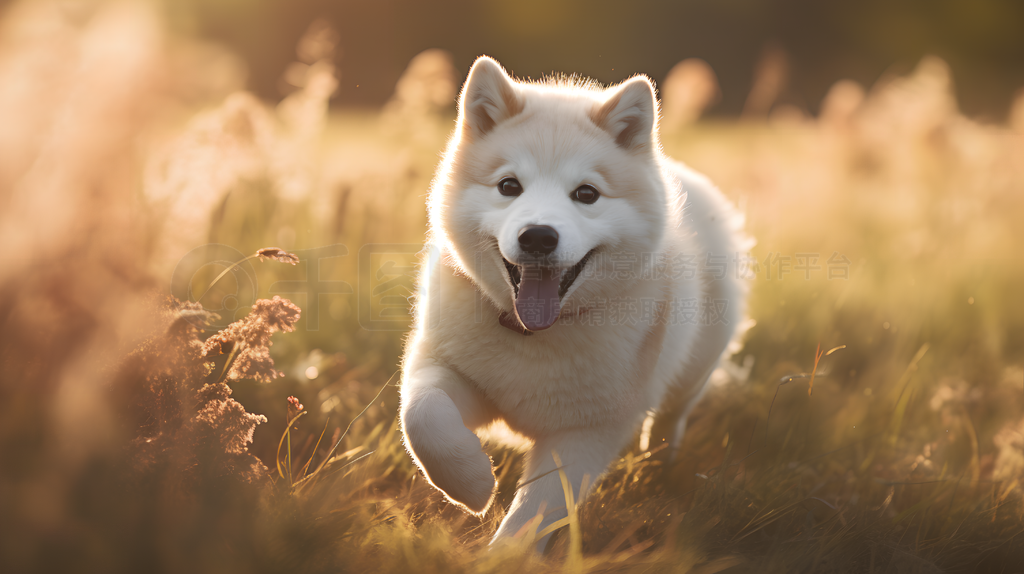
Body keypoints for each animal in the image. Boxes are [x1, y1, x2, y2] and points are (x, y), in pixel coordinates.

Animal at [399, 56, 753, 544]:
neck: (533, 336)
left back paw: (660, 468)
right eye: (508, 186)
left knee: (671, 418)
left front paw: (503, 551)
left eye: (586, 194)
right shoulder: (442, 366)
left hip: (694, 368)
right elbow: (422, 416)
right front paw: (471, 484)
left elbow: (532, 516)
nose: (538, 236)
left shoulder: (587, 432)